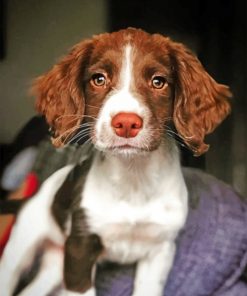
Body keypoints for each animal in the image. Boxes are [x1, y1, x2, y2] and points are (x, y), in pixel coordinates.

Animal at [0, 27, 232, 296]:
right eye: (98, 79)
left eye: (158, 82)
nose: (127, 123)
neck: (133, 177)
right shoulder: (80, 246)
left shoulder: (160, 249)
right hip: (23, 244)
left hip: (56, 265)